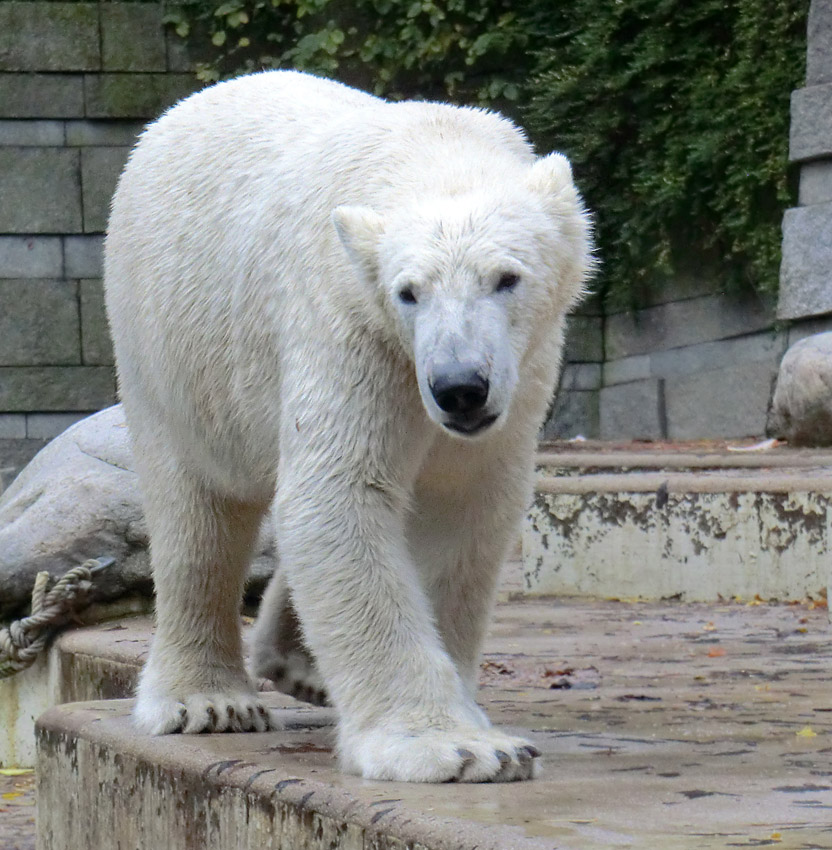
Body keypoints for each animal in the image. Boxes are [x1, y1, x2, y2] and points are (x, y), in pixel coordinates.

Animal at [104, 71, 596, 780]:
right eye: (408, 292)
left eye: (507, 278)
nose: (459, 388)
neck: (430, 147)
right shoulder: (350, 325)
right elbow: (340, 493)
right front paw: (456, 747)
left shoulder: (521, 372)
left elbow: (461, 507)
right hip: (168, 346)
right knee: (196, 514)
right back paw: (208, 700)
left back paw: (297, 662)